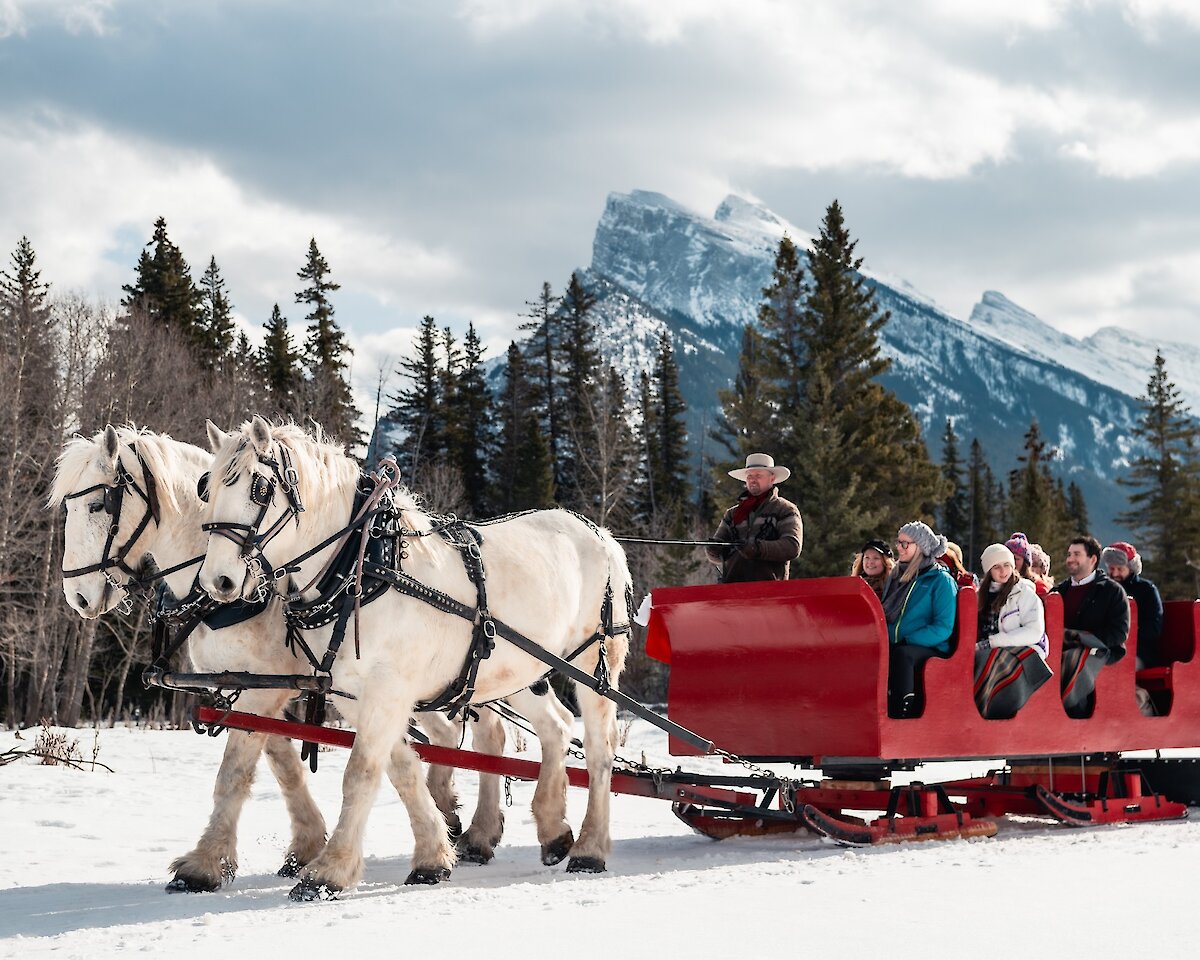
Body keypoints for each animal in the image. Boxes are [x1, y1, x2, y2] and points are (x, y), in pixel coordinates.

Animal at [196, 420, 628, 902]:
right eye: (207, 486)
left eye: (259, 487)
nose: (217, 581)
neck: (362, 565)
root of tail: (601, 534)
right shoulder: (353, 693)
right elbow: (400, 768)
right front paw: (433, 857)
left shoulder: (387, 688)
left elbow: (361, 772)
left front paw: (328, 872)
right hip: (516, 670)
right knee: (556, 726)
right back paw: (551, 829)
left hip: (593, 662)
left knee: (599, 749)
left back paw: (590, 849)